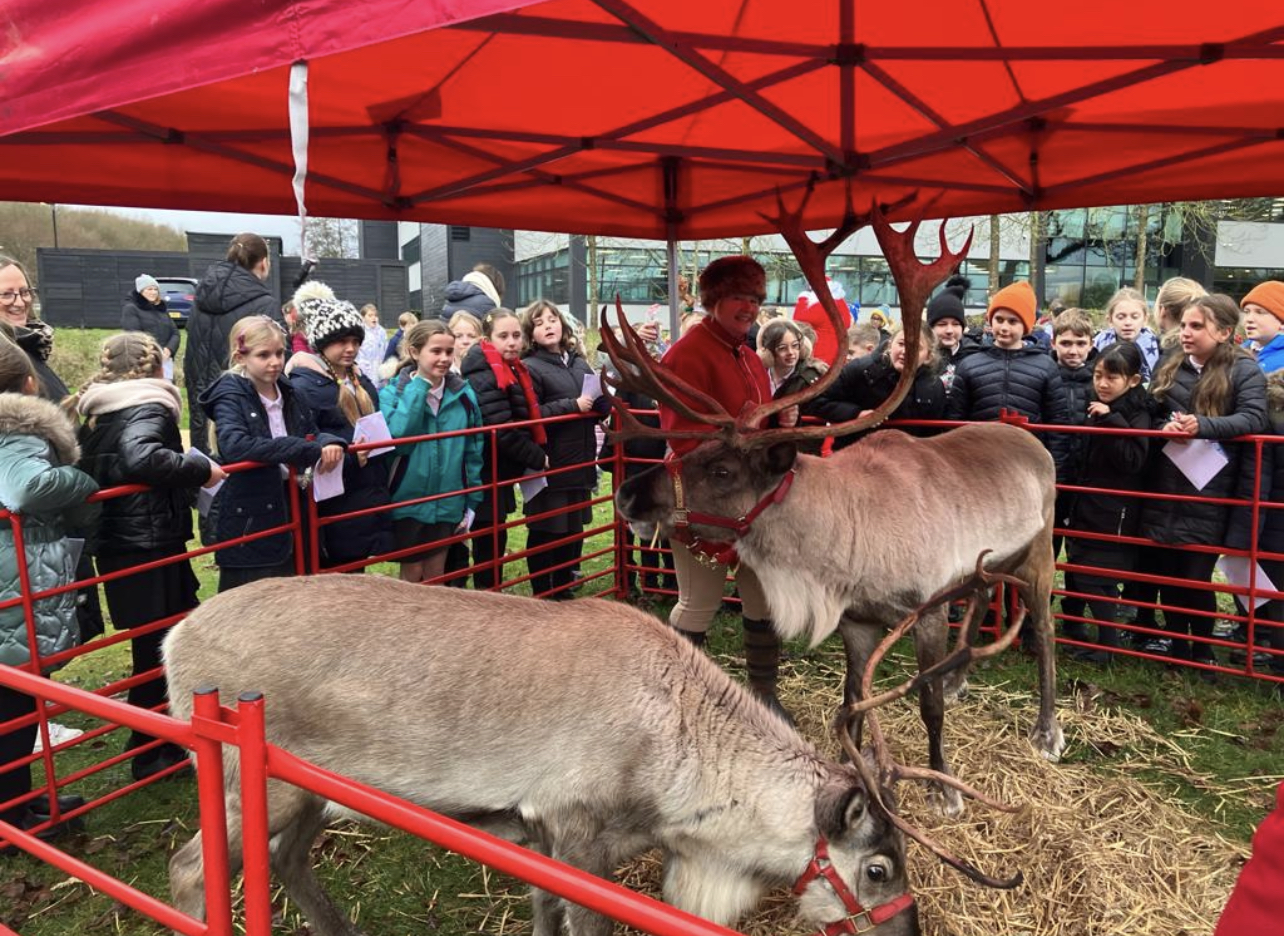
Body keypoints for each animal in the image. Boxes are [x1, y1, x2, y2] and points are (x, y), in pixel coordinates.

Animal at [162, 572, 1026, 936]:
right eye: (878, 869)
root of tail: (172, 641)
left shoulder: (542, 837)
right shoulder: (576, 833)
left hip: (312, 790)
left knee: (288, 859)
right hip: (248, 781)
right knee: (187, 867)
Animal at [602, 185, 1066, 816]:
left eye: (721, 468)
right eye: (692, 447)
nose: (627, 493)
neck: (842, 546)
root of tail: (1028, 436)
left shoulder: (924, 611)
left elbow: (926, 705)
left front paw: (944, 788)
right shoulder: (858, 622)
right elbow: (851, 699)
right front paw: (861, 771)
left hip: (1039, 556)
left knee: (1043, 635)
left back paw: (1047, 729)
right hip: (985, 568)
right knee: (983, 598)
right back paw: (960, 678)